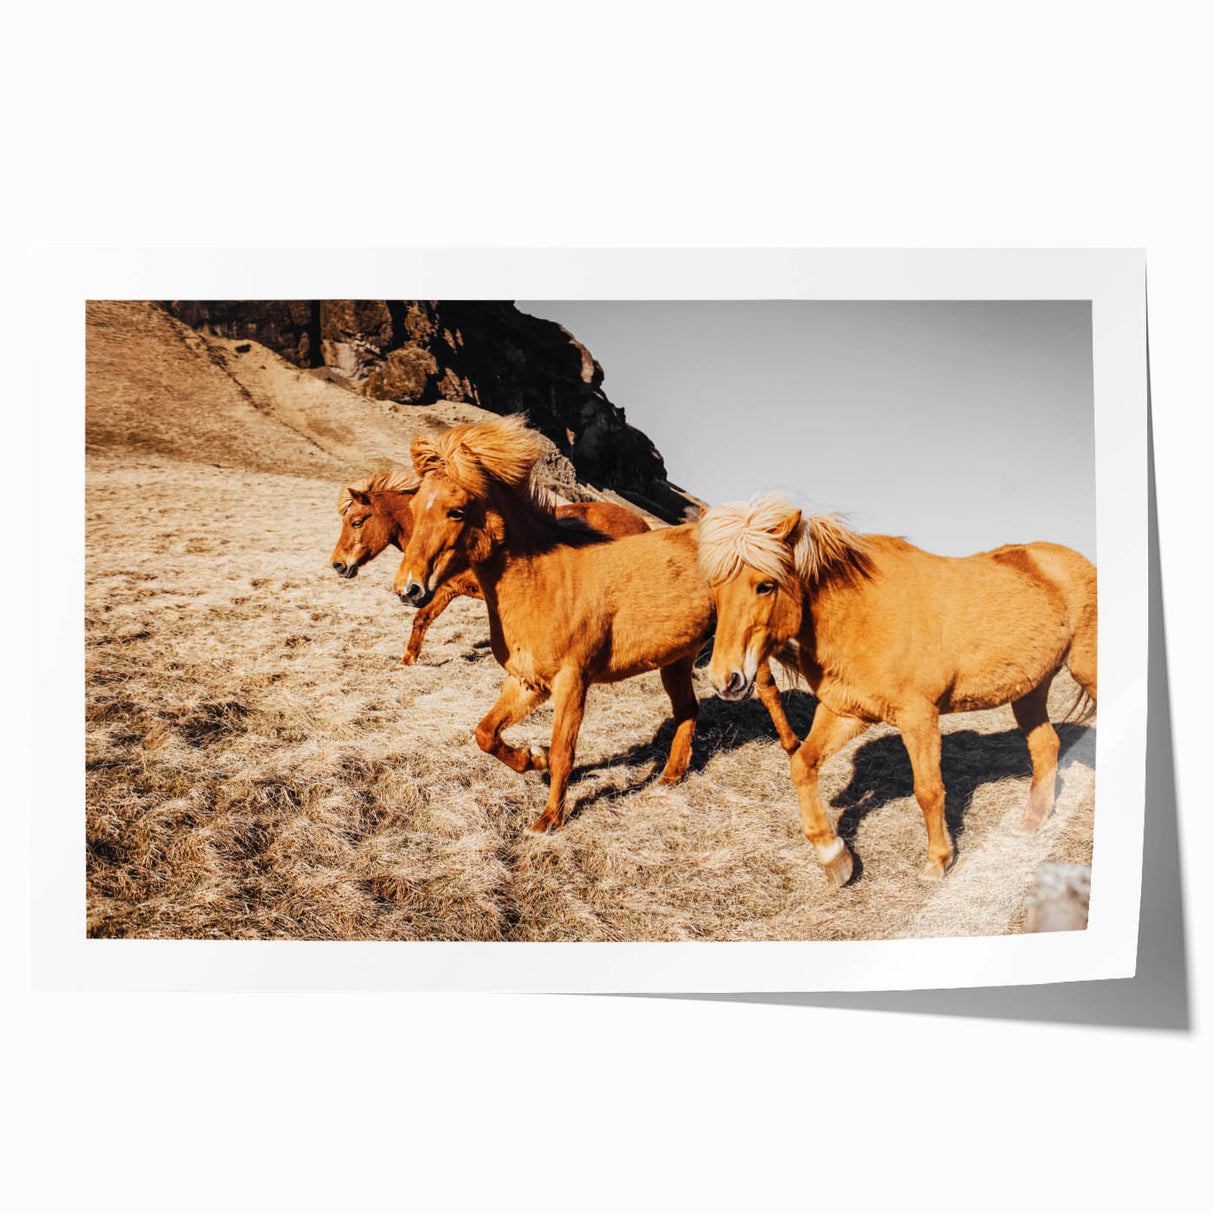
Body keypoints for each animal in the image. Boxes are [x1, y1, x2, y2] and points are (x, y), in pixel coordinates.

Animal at [331, 470, 653, 664]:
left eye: (356, 522)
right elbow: (422, 619)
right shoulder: (448, 589)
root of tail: (642, 524)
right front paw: (408, 659)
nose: (338, 565)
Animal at [392, 415, 801, 835]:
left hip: (738, 647)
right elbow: (485, 734)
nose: (408, 589)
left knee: (767, 690)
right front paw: (532, 758)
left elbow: (563, 751)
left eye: (455, 511)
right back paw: (669, 778)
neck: (543, 581)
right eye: (414, 506)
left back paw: (792, 748)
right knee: (688, 709)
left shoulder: (572, 682)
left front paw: (548, 819)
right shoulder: (526, 681)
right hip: (676, 660)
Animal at [697, 494, 1097, 887]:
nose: (725, 679)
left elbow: (928, 790)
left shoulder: (918, 716)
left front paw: (938, 861)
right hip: (1030, 690)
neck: (860, 613)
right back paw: (1032, 823)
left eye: (765, 585)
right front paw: (834, 857)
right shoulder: (845, 711)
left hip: (1086, 671)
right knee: (1045, 747)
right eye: (715, 587)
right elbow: (801, 764)